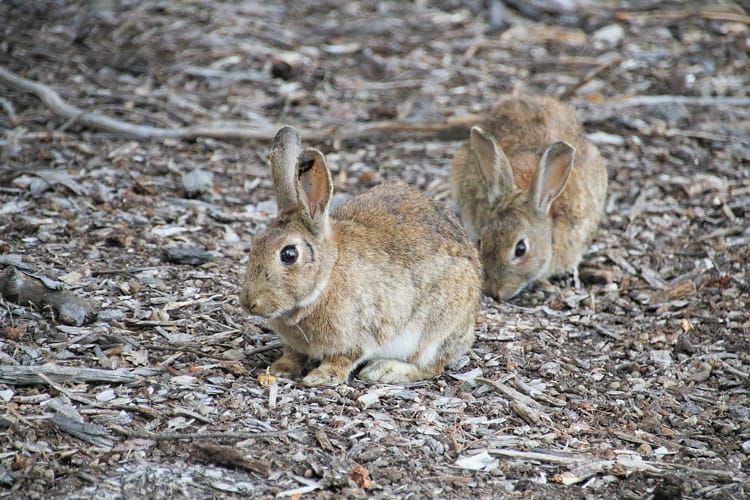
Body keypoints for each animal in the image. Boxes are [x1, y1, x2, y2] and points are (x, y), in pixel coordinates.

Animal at [240, 126, 481, 386]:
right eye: (255, 242)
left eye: (289, 254)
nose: (248, 303)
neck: (326, 277)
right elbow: (294, 353)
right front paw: (281, 368)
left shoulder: (363, 330)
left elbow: (344, 358)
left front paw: (321, 376)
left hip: (434, 331)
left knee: (432, 366)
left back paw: (385, 370)